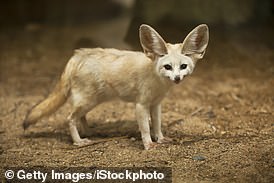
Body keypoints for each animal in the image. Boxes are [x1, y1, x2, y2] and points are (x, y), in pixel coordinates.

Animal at [23, 24, 209, 150]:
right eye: (168, 67)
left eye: (183, 66)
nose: (177, 78)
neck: (159, 82)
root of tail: (77, 55)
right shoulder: (141, 105)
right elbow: (145, 128)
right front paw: (148, 144)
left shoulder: (156, 104)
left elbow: (157, 124)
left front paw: (161, 139)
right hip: (88, 101)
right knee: (70, 118)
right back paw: (78, 141)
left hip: (91, 101)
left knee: (80, 117)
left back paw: (88, 132)